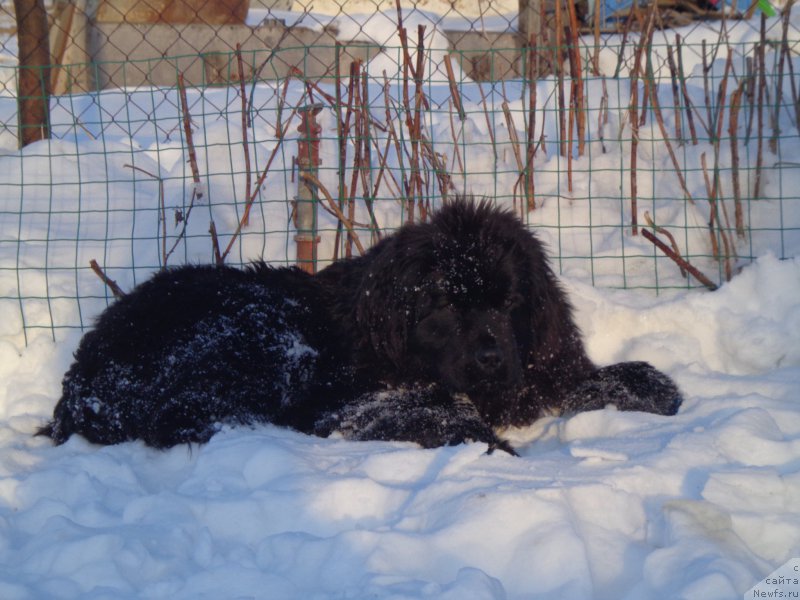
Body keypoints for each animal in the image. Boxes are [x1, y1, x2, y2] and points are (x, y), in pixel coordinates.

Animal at [39, 199, 680, 452]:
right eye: (444, 307)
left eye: (511, 302)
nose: (492, 359)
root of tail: (84, 373)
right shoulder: (349, 398)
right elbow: (435, 412)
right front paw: (485, 441)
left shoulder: (537, 364)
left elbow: (582, 377)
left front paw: (650, 384)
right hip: (255, 324)